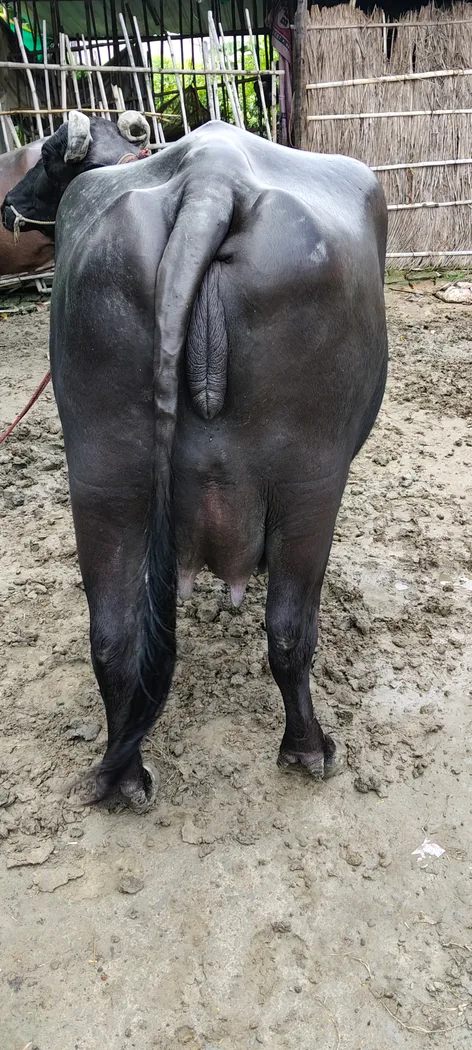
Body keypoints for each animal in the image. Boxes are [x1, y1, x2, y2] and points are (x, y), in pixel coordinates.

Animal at [2, 114, 388, 810]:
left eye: (45, 158)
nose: (7, 205)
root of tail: (211, 183)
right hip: (311, 478)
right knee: (289, 631)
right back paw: (309, 749)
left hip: (102, 475)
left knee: (113, 638)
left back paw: (125, 777)